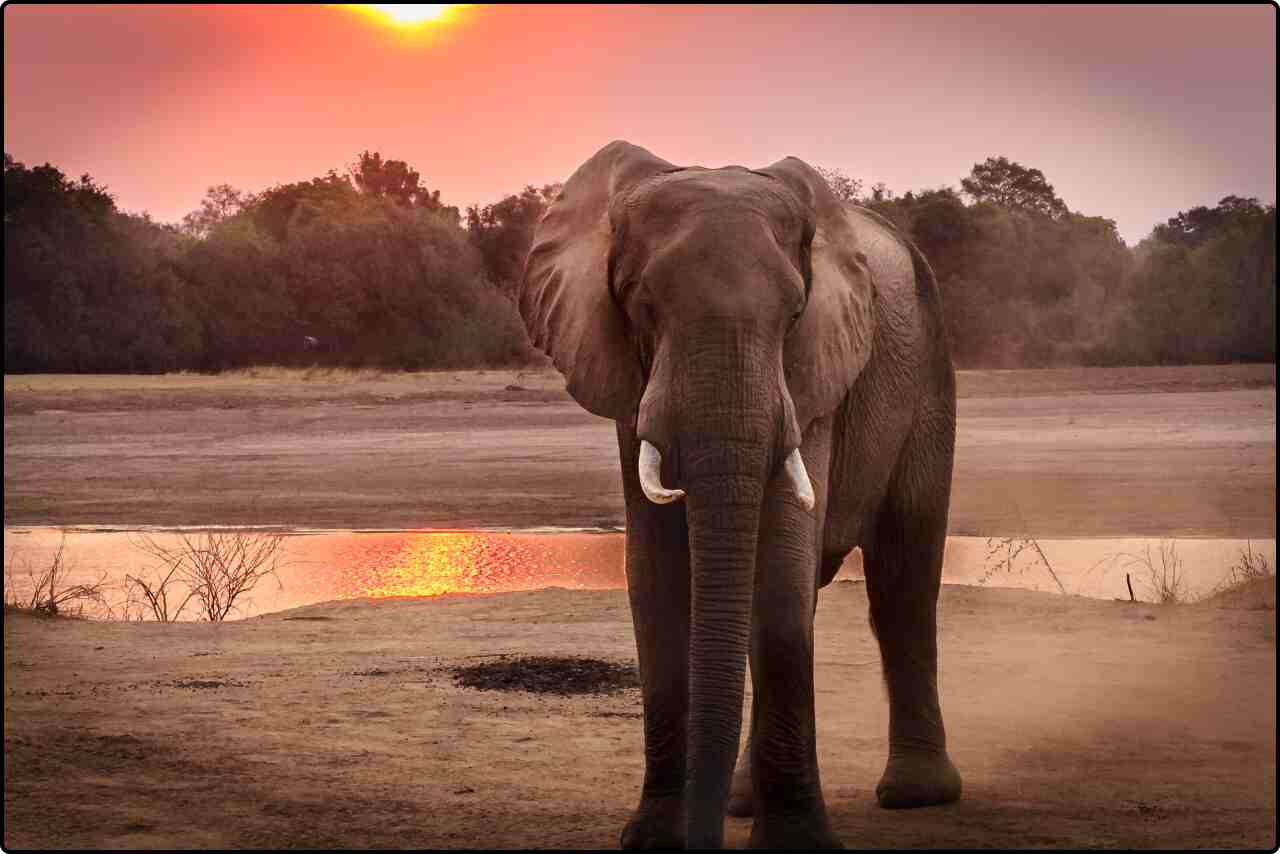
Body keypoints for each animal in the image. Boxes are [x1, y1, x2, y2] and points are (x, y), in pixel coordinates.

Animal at [519, 140, 962, 850]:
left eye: (794, 314)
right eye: (641, 306)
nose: (699, 838)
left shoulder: (813, 376)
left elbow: (779, 567)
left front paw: (795, 844)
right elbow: (657, 577)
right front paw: (654, 839)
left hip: (929, 375)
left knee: (904, 576)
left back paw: (914, 795)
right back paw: (742, 801)